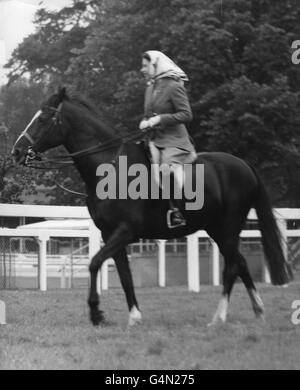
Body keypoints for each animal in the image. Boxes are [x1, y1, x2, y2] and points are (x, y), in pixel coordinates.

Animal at [11, 87, 290, 326]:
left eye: (43, 118)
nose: (17, 152)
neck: (111, 167)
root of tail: (244, 165)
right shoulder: (110, 233)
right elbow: (124, 275)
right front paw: (134, 316)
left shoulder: (126, 231)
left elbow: (94, 263)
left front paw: (96, 313)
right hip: (218, 230)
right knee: (240, 262)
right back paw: (258, 310)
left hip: (228, 228)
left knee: (232, 266)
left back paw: (219, 317)